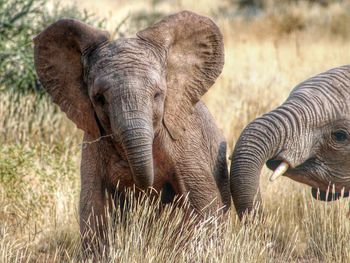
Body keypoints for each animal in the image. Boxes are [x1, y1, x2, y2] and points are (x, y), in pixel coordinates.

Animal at [32, 10, 230, 253]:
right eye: (99, 98)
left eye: (158, 94)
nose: (155, 192)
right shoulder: (93, 143)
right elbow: (93, 209)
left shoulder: (185, 144)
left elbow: (205, 206)